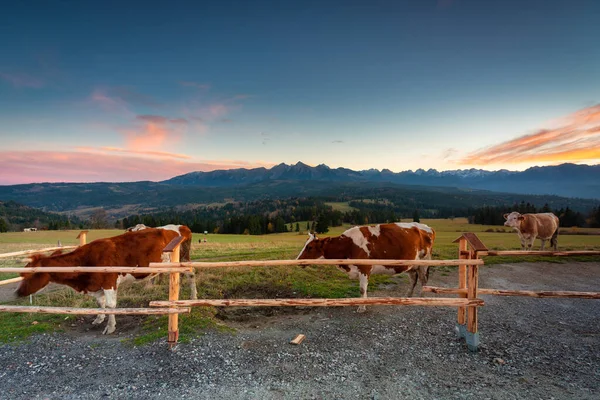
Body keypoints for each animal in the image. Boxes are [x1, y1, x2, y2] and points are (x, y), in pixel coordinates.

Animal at [296, 222, 434, 312]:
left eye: (310, 247)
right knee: (413, 279)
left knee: (423, 280)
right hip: (411, 264)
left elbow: (362, 289)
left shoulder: (364, 268)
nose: (298, 260)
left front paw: (361, 307)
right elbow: (364, 289)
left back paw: (421, 298)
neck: (348, 245)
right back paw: (407, 297)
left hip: (424, 262)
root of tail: (427, 227)